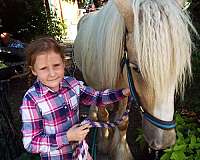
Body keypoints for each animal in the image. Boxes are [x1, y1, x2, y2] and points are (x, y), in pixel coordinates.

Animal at [72, 0, 195, 159]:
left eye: (177, 68)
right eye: (136, 68)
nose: (164, 141)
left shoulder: (126, 91)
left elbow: (123, 122)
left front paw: (121, 151)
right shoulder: (100, 89)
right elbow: (103, 115)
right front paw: (105, 142)